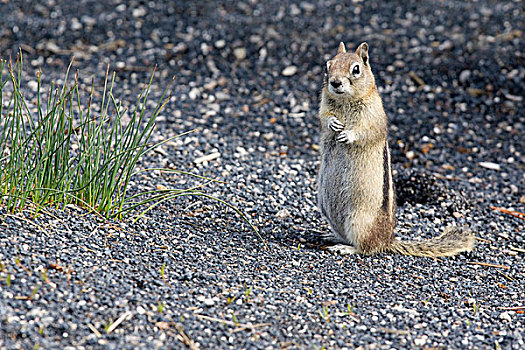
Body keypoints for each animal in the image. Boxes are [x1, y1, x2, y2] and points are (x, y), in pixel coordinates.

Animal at [316, 41, 474, 258]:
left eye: (356, 69)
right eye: (328, 65)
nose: (335, 82)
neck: (345, 101)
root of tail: (388, 240)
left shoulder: (374, 117)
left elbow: (365, 131)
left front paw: (347, 135)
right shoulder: (324, 106)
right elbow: (325, 118)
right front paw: (333, 123)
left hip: (359, 220)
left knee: (367, 248)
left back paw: (347, 248)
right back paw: (332, 236)